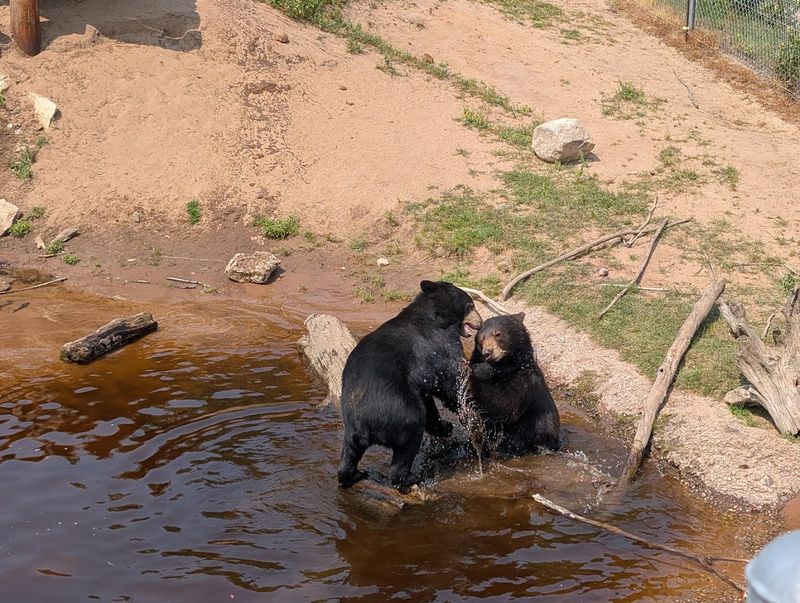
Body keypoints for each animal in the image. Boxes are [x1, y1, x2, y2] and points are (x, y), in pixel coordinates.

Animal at [337, 280, 483, 492]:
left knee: (349, 452)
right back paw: (410, 477)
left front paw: (445, 426)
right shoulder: (439, 347)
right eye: (470, 305)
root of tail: (365, 425)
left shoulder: (421, 383)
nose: (480, 322)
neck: (437, 316)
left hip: (351, 430)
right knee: (408, 443)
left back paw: (352, 475)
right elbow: (449, 383)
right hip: (403, 414)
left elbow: (430, 400)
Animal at [469, 313, 560, 454]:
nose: (487, 353)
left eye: (498, 334)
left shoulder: (526, 380)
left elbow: (504, 406)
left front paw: (480, 370)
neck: (506, 367)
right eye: (481, 339)